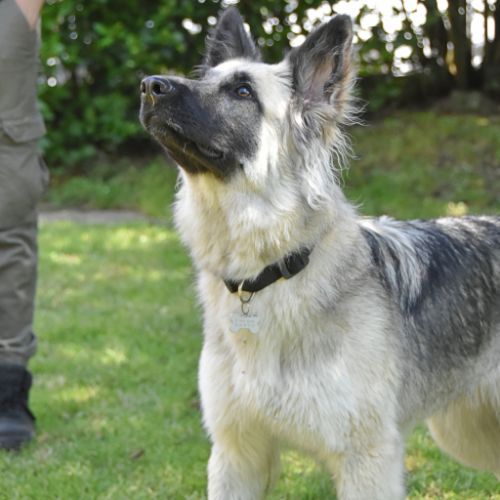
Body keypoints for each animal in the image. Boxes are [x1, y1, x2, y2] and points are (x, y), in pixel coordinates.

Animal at [140, 8, 500, 499]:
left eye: (241, 91)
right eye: (204, 79)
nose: (148, 85)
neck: (272, 272)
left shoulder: (367, 461)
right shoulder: (237, 455)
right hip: (465, 431)